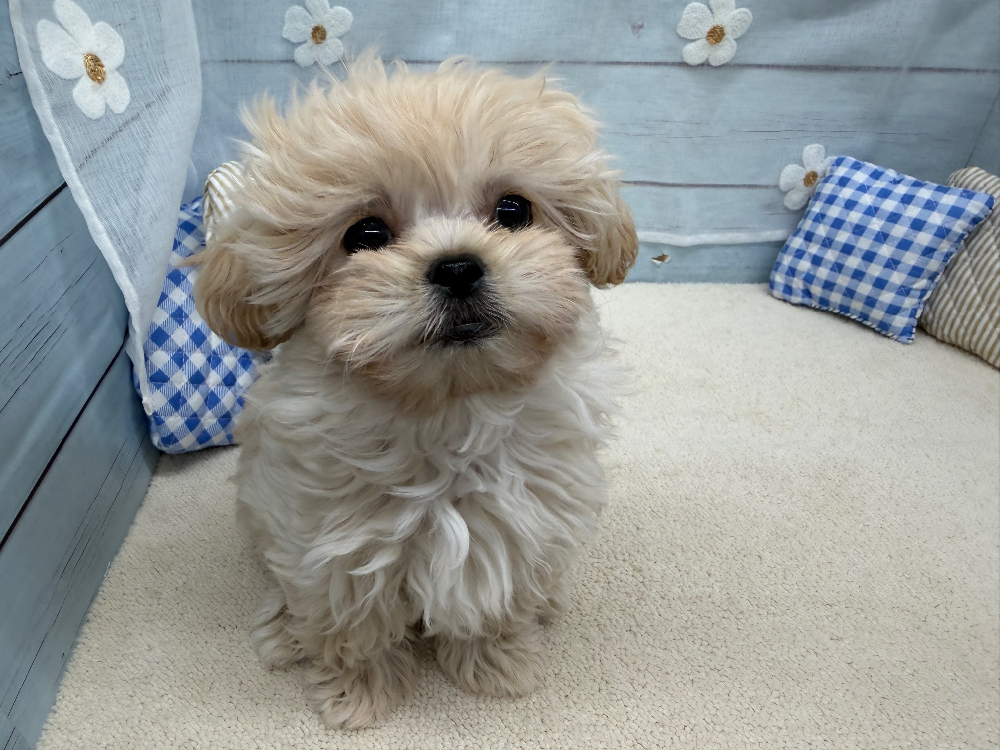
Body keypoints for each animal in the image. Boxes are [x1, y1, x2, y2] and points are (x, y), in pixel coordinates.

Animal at [194, 52, 637, 729]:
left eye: (513, 211)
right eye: (365, 234)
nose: (456, 267)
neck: (447, 410)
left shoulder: (523, 523)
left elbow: (500, 596)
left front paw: (498, 664)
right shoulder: (333, 548)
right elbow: (350, 625)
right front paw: (361, 694)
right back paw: (284, 631)